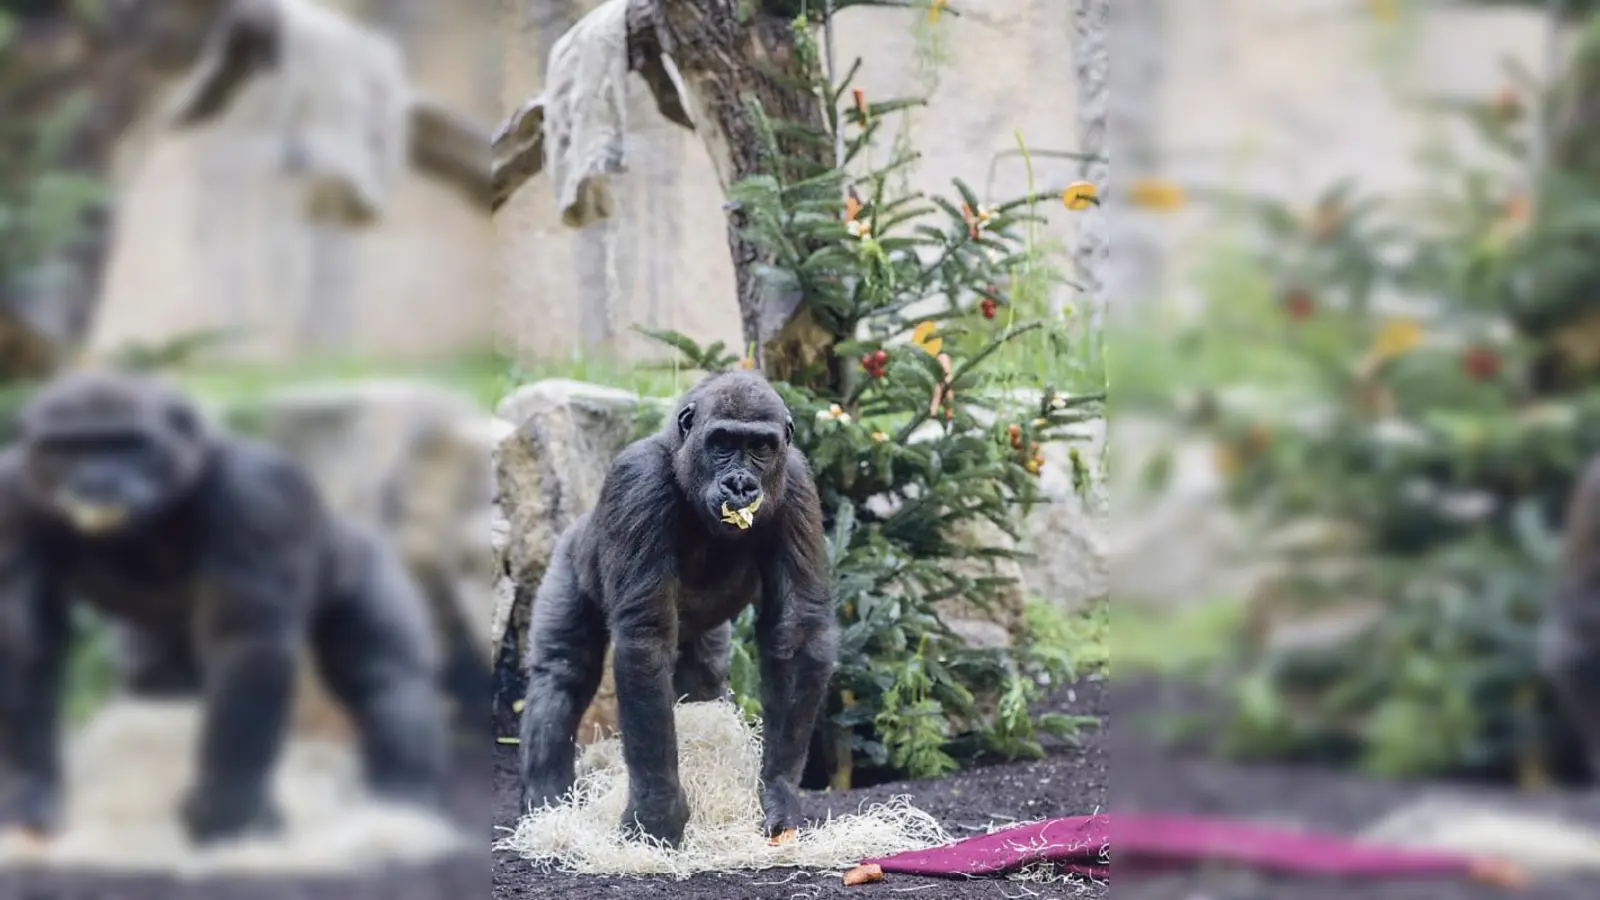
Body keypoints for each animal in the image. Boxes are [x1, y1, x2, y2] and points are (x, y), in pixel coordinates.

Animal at [0, 370, 449, 845]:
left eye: (128, 444)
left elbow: (247, 644)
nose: (96, 482)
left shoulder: (260, 491)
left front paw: (229, 806)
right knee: (154, 677)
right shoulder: (9, 498)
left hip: (362, 556)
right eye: (66, 448)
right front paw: (29, 787)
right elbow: (22, 644)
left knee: (386, 679)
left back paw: (404, 795)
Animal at [518, 370, 838, 848]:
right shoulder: (638, 480)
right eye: (722, 442)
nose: (740, 485)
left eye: (761, 448)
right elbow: (645, 638)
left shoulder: (796, 482)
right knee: (562, 673)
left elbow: (797, 633)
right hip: (568, 558)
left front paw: (778, 793)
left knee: (703, 678)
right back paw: (547, 801)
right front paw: (657, 813)